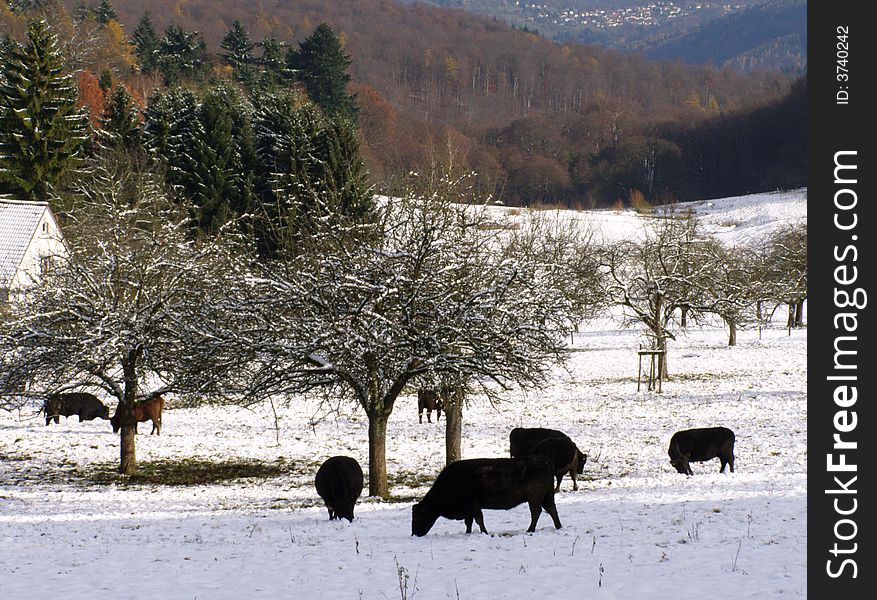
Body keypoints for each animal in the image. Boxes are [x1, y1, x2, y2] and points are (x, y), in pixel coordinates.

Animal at [410, 458, 560, 536]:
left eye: (417, 516)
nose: (414, 533)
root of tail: (545, 462)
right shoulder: (469, 509)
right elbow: (469, 522)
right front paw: (468, 533)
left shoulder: (473, 506)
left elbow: (478, 520)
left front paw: (484, 532)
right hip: (545, 497)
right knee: (551, 510)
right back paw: (558, 527)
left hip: (534, 498)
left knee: (536, 512)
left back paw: (530, 530)